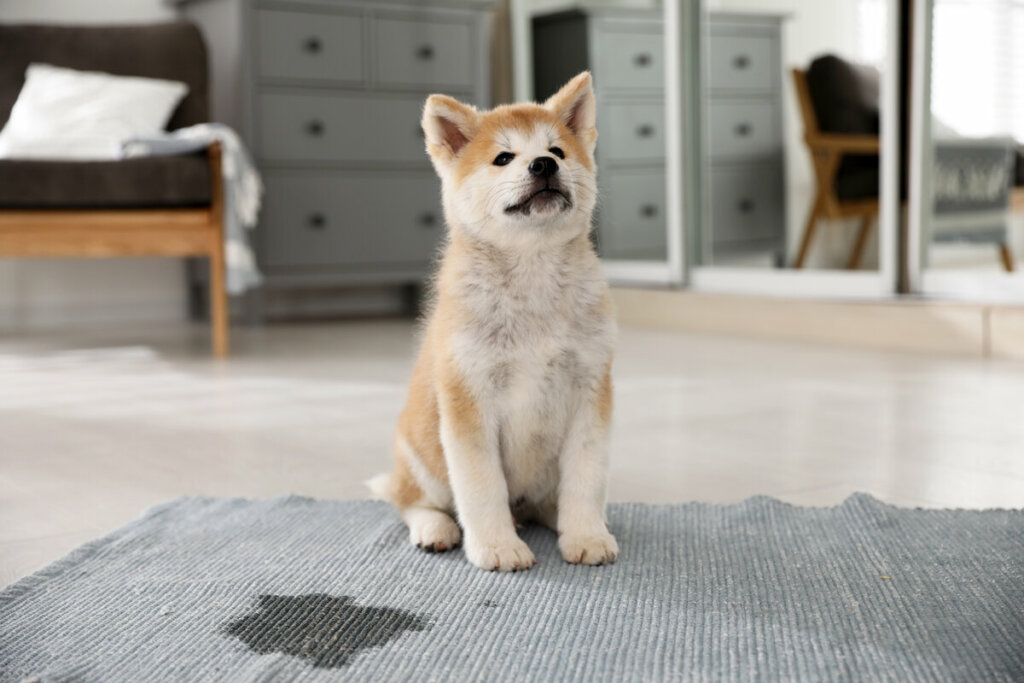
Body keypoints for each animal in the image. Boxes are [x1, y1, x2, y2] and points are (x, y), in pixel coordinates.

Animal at [372, 73, 618, 573]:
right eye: (503, 157)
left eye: (557, 150)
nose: (543, 165)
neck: (532, 281)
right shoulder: (469, 400)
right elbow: (482, 489)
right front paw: (498, 548)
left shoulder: (591, 391)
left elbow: (586, 479)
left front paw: (586, 535)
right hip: (421, 456)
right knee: (411, 501)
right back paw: (435, 528)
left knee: (547, 500)